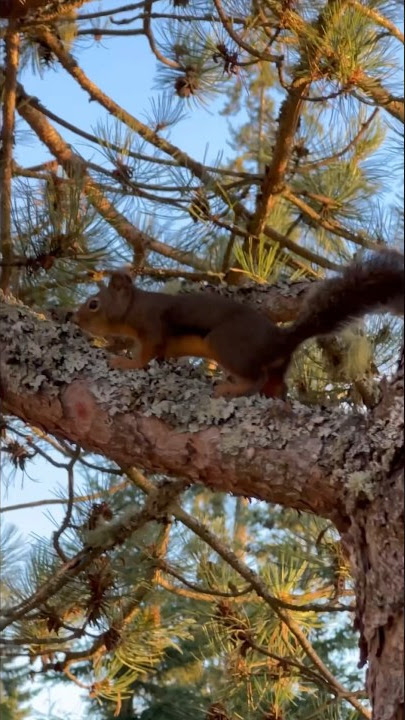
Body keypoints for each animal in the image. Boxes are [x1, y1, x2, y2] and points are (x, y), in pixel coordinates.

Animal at [73, 250, 404, 399]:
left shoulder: (152, 326)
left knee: (255, 378)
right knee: (276, 383)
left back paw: (229, 388)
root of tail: (279, 341)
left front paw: (123, 362)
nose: (74, 318)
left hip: (225, 344)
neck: (135, 307)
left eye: (93, 303)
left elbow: (145, 356)